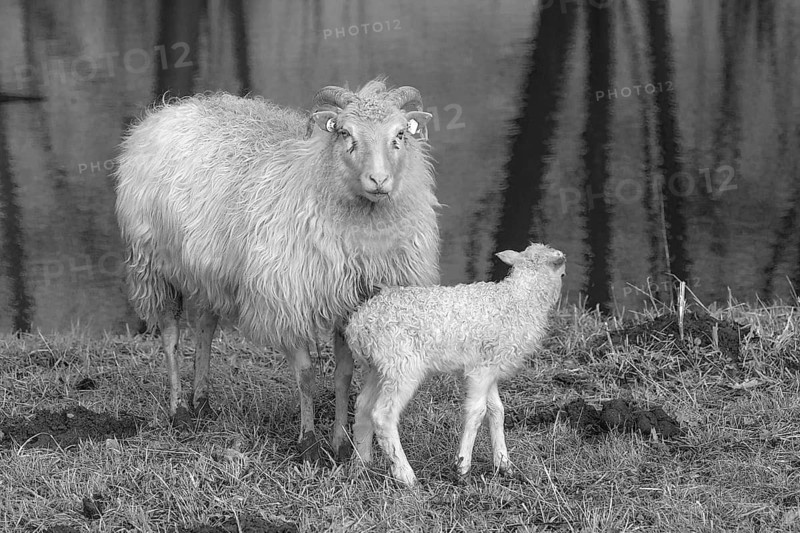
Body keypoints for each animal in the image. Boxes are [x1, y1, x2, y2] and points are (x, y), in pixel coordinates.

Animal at [113, 78, 440, 461]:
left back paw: (202, 401)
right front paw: (309, 442)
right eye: (345, 132)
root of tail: (171, 108)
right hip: (154, 265)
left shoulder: (352, 301)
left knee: (205, 327)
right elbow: (306, 376)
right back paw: (179, 409)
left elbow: (343, 375)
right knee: (171, 336)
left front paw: (341, 444)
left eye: (400, 133)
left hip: (208, 269)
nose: (379, 181)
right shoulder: (287, 299)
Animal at [346, 243, 565, 486]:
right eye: (562, 273)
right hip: (402, 366)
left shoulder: (489, 367)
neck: (519, 300)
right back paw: (405, 475)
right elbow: (477, 412)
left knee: (363, 406)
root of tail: (359, 325)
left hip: (379, 368)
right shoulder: (480, 371)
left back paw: (361, 465)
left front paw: (503, 464)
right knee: (383, 416)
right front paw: (462, 467)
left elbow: (496, 410)